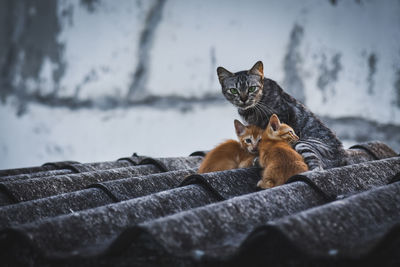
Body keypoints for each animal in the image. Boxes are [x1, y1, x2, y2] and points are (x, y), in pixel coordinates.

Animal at [217, 61, 346, 171]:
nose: (243, 99)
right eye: (233, 90)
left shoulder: (281, 117)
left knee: (318, 167)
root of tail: (343, 154)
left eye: (252, 88)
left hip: (303, 143)